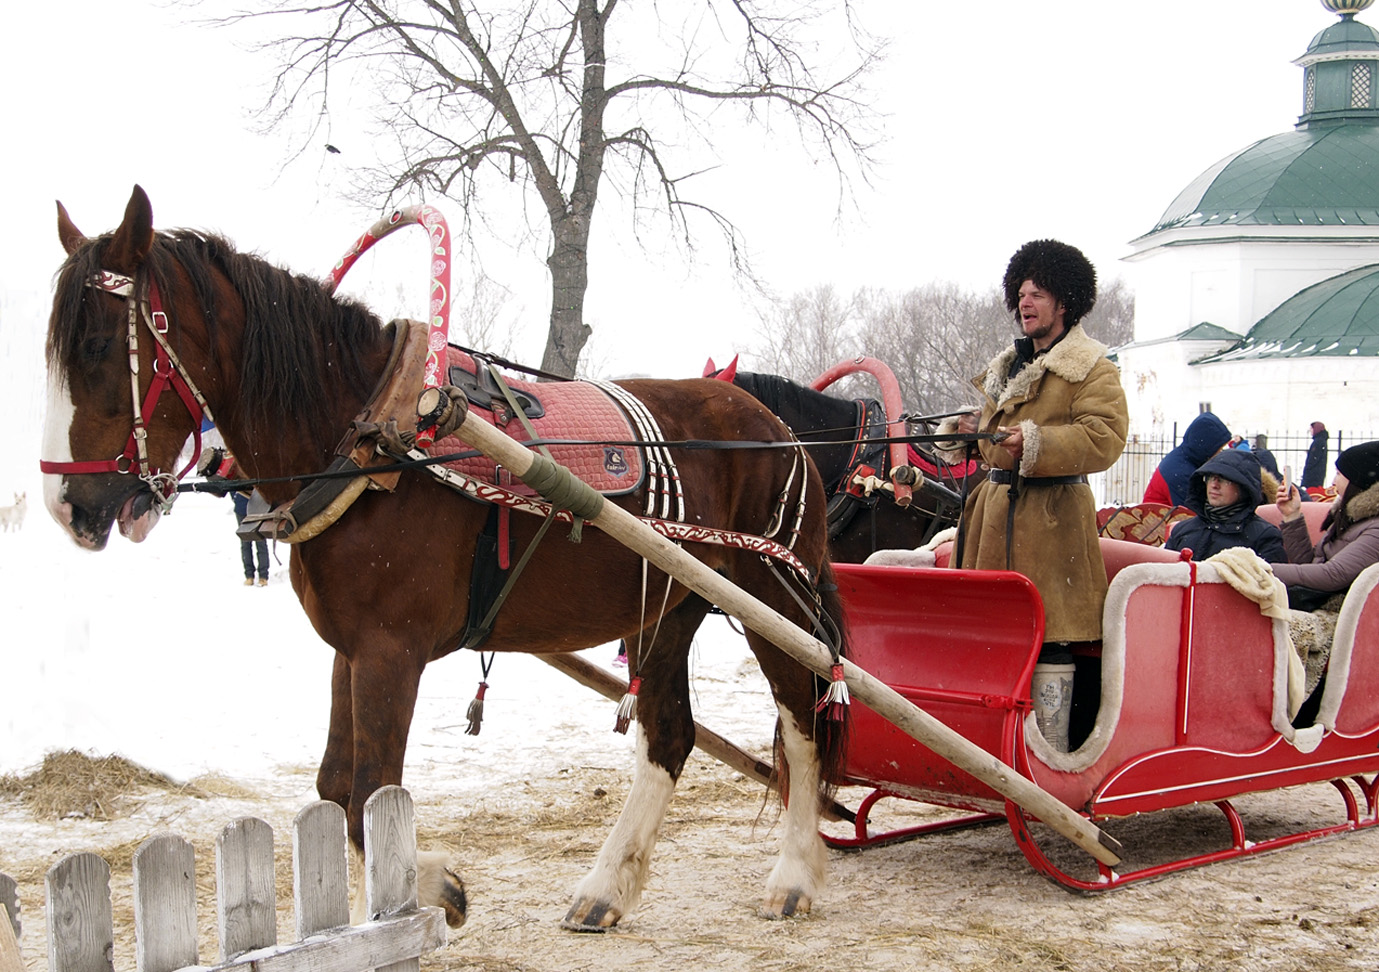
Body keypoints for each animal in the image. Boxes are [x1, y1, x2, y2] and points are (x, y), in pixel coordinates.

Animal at [40, 187, 838, 926]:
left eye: (97, 348)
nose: (68, 507)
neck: (369, 439)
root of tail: (779, 430)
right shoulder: (350, 648)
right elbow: (338, 787)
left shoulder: (391, 649)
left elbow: (369, 791)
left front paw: (429, 884)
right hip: (669, 606)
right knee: (668, 735)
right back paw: (605, 888)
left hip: (771, 602)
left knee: (802, 725)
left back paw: (794, 875)